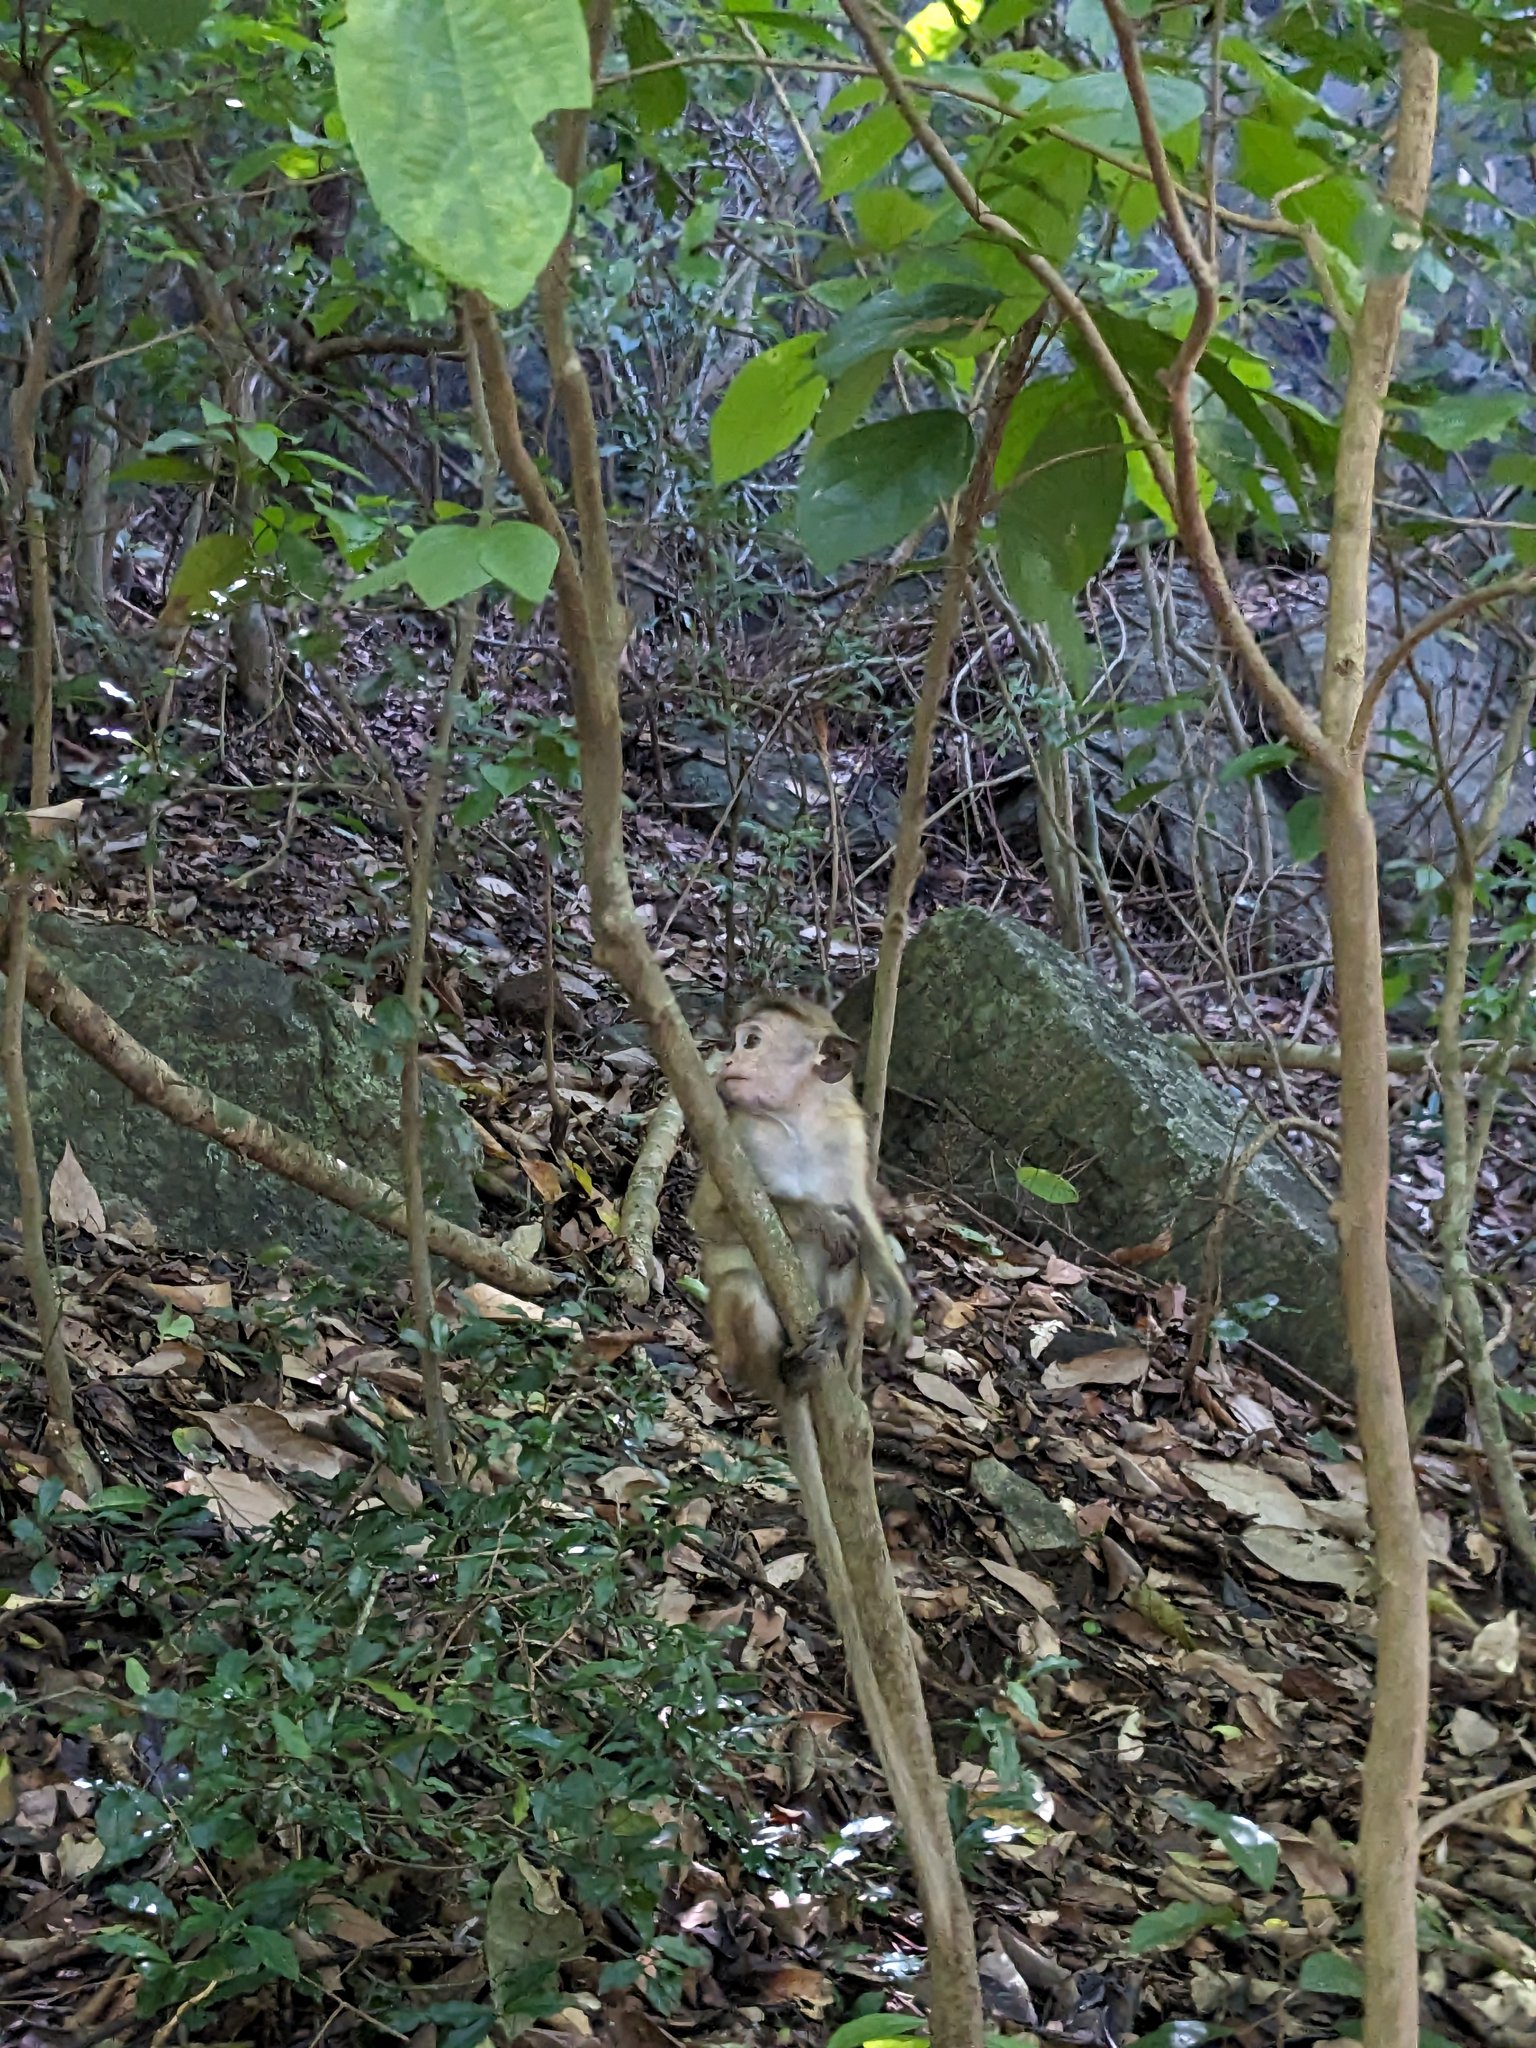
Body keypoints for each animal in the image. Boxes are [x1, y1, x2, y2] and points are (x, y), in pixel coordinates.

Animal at [687, 994, 913, 1400]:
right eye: (735, 1043)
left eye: (751, 1042)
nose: (727, 1062)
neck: (796, 1122)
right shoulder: (735, 1134)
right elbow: (706, 1219)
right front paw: (816, 1217)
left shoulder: (848, 1135)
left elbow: (859, 1213)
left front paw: (901, 1304)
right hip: (729, 1347)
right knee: (740, 1286)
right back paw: (784, 1381)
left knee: (851, 1258)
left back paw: (836, 1331)